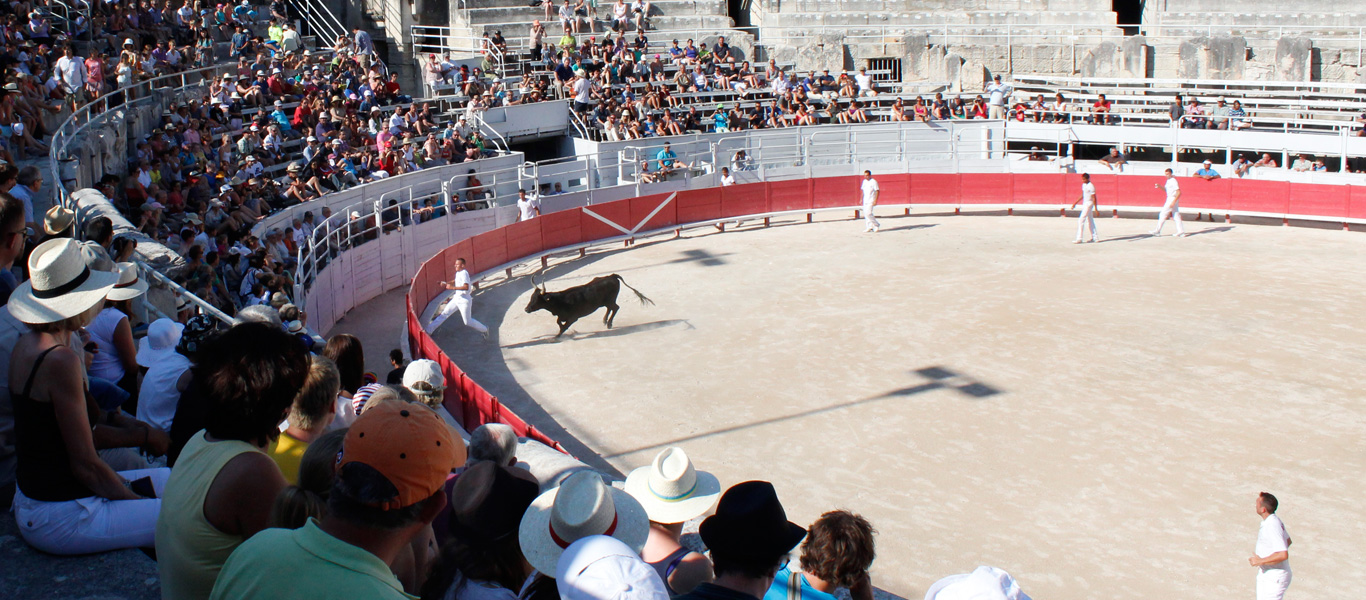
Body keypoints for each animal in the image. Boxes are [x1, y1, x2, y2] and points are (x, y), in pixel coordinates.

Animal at [524, 273, 652, 338]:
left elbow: (563, 326)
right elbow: (559, 322)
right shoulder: (562, 316)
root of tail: (612, 276)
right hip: (605, 302)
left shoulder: (573, 318)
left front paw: (555, 337)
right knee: (610, 308)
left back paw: (609, 324)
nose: (526, 309)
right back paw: (605, 321)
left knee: (615, 308)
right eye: (531, 297)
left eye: (536, 299)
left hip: (610, 300)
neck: (560, 301)